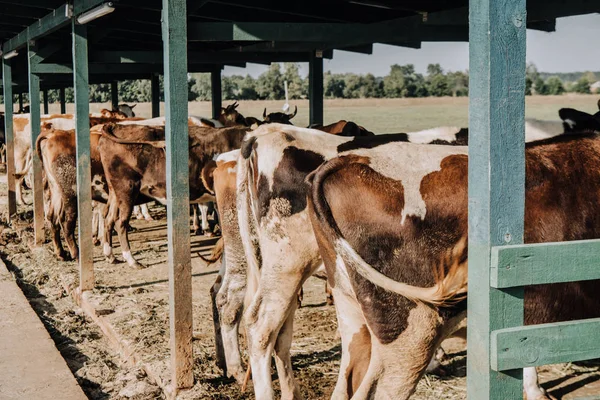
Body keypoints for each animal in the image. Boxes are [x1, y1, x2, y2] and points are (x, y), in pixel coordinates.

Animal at [99, 123, 248, 268]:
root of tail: (116, 125)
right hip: (127, 189)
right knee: (120, 222)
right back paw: (132, 260)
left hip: (115, 192)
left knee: (108, 219)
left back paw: (110, 256)